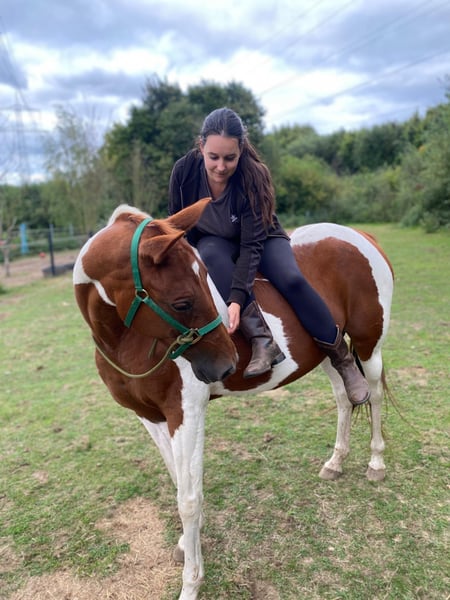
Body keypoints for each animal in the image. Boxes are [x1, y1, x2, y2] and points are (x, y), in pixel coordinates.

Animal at [73, 198, 394, 600]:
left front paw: (191, 582)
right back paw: (336, 461)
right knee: (344, 397)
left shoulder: (187, 412)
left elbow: (189, 500)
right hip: (328, 354)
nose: (226, 364)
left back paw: (376, 463)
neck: (126, 340)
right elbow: (179, 483)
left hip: (369, 344)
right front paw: (186, 544)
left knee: (375, 396)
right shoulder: (151, 417)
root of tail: (360, 236)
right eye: (182, 302)